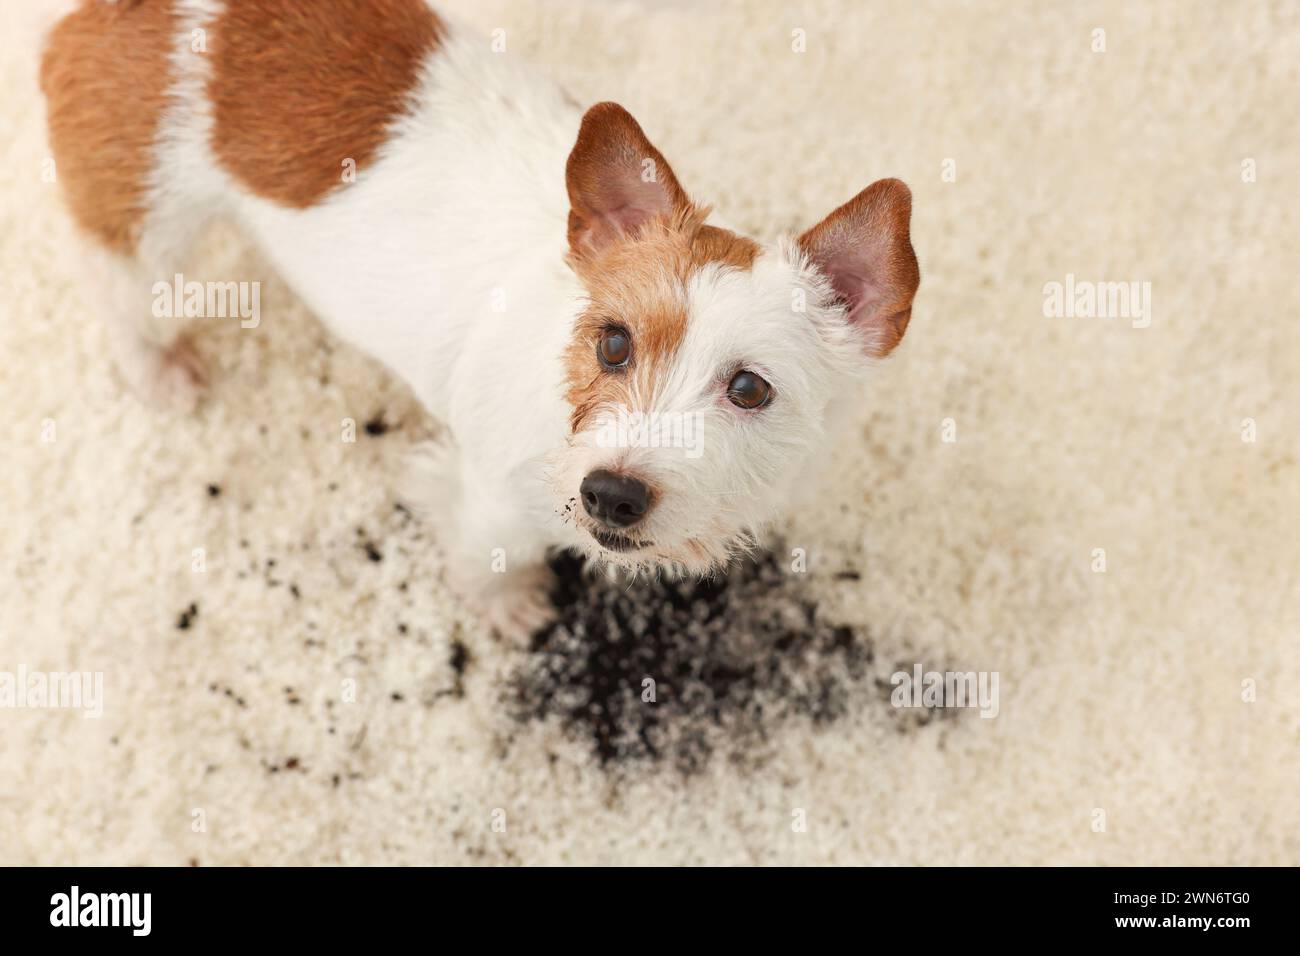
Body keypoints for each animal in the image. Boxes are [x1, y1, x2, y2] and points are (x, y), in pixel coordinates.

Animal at [38, 1, 915, 634]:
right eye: (614, 343)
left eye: (750, 389)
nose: (610, 495)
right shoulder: (493, 496)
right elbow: (487, 551)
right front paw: (507, 608)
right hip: (143, 226)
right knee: (114, 289)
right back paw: (157, 369)